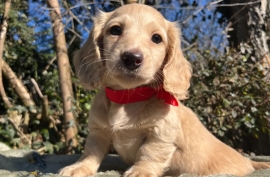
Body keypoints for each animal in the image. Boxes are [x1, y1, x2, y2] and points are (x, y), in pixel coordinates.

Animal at [60, 3, 270, 177]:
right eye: (115, 30)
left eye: (156, 38)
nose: (132, 58)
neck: (128, 98)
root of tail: (248, 161)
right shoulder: (98, 132)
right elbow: (91, 152)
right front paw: (79, 167)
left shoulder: (161, 134)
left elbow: (150, 152)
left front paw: (141, 171)